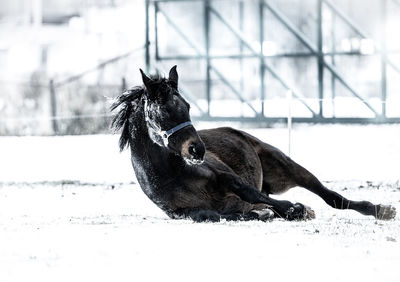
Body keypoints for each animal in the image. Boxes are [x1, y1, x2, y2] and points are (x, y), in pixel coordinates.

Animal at [110, 66, 396, 223]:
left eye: (187, 106)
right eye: (161, 112)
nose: (197, 150)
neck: (174, 173)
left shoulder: (225, 177)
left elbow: (250, 193)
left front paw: (293, 209)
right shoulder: (178, 212)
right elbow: (211, 215)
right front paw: (262, 214)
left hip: (287, 168)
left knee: (331, 197)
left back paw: (381, 210)